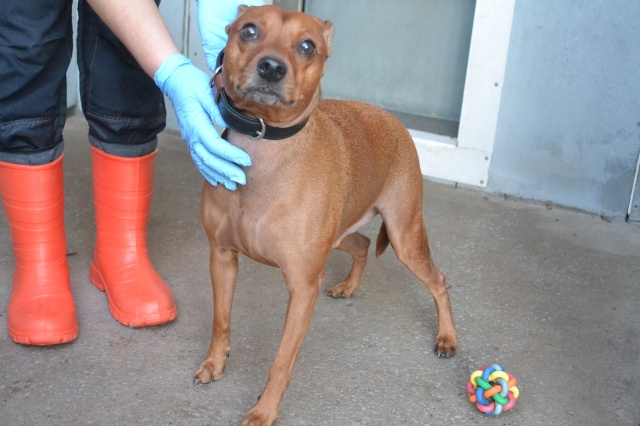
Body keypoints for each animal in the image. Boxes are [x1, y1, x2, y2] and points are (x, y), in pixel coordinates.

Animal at [196, 5, 457, 425]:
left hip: (406, 238)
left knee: (439, 281)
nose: (271, 68)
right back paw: (349, 285)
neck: (264, 150)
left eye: (308, 47)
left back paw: (447, 337)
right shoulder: (222, 258)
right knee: (363, 243)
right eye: (248, 31)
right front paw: (215, 363)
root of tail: (393, 120)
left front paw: (264, 410)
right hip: (343, 235)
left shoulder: (303, 288)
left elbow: (281, 362)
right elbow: (221, 322)